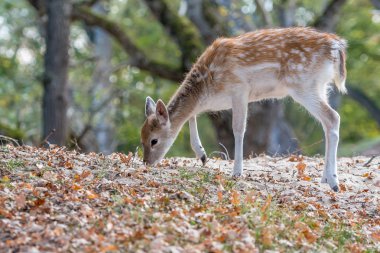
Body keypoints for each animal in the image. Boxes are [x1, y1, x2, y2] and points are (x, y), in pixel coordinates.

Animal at [141, 27, 346, 192]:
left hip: (302, 84)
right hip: (321, 86)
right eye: (141, 138)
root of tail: (336, 45)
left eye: (154, 140)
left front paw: (237, 172)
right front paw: (202, 155)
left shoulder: (239, 89)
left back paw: (334, 182)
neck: (207, 90)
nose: (146, 163)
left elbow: (238, 129)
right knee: (327, 123)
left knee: (333, 117)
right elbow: (192, 115)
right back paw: (325, 177)